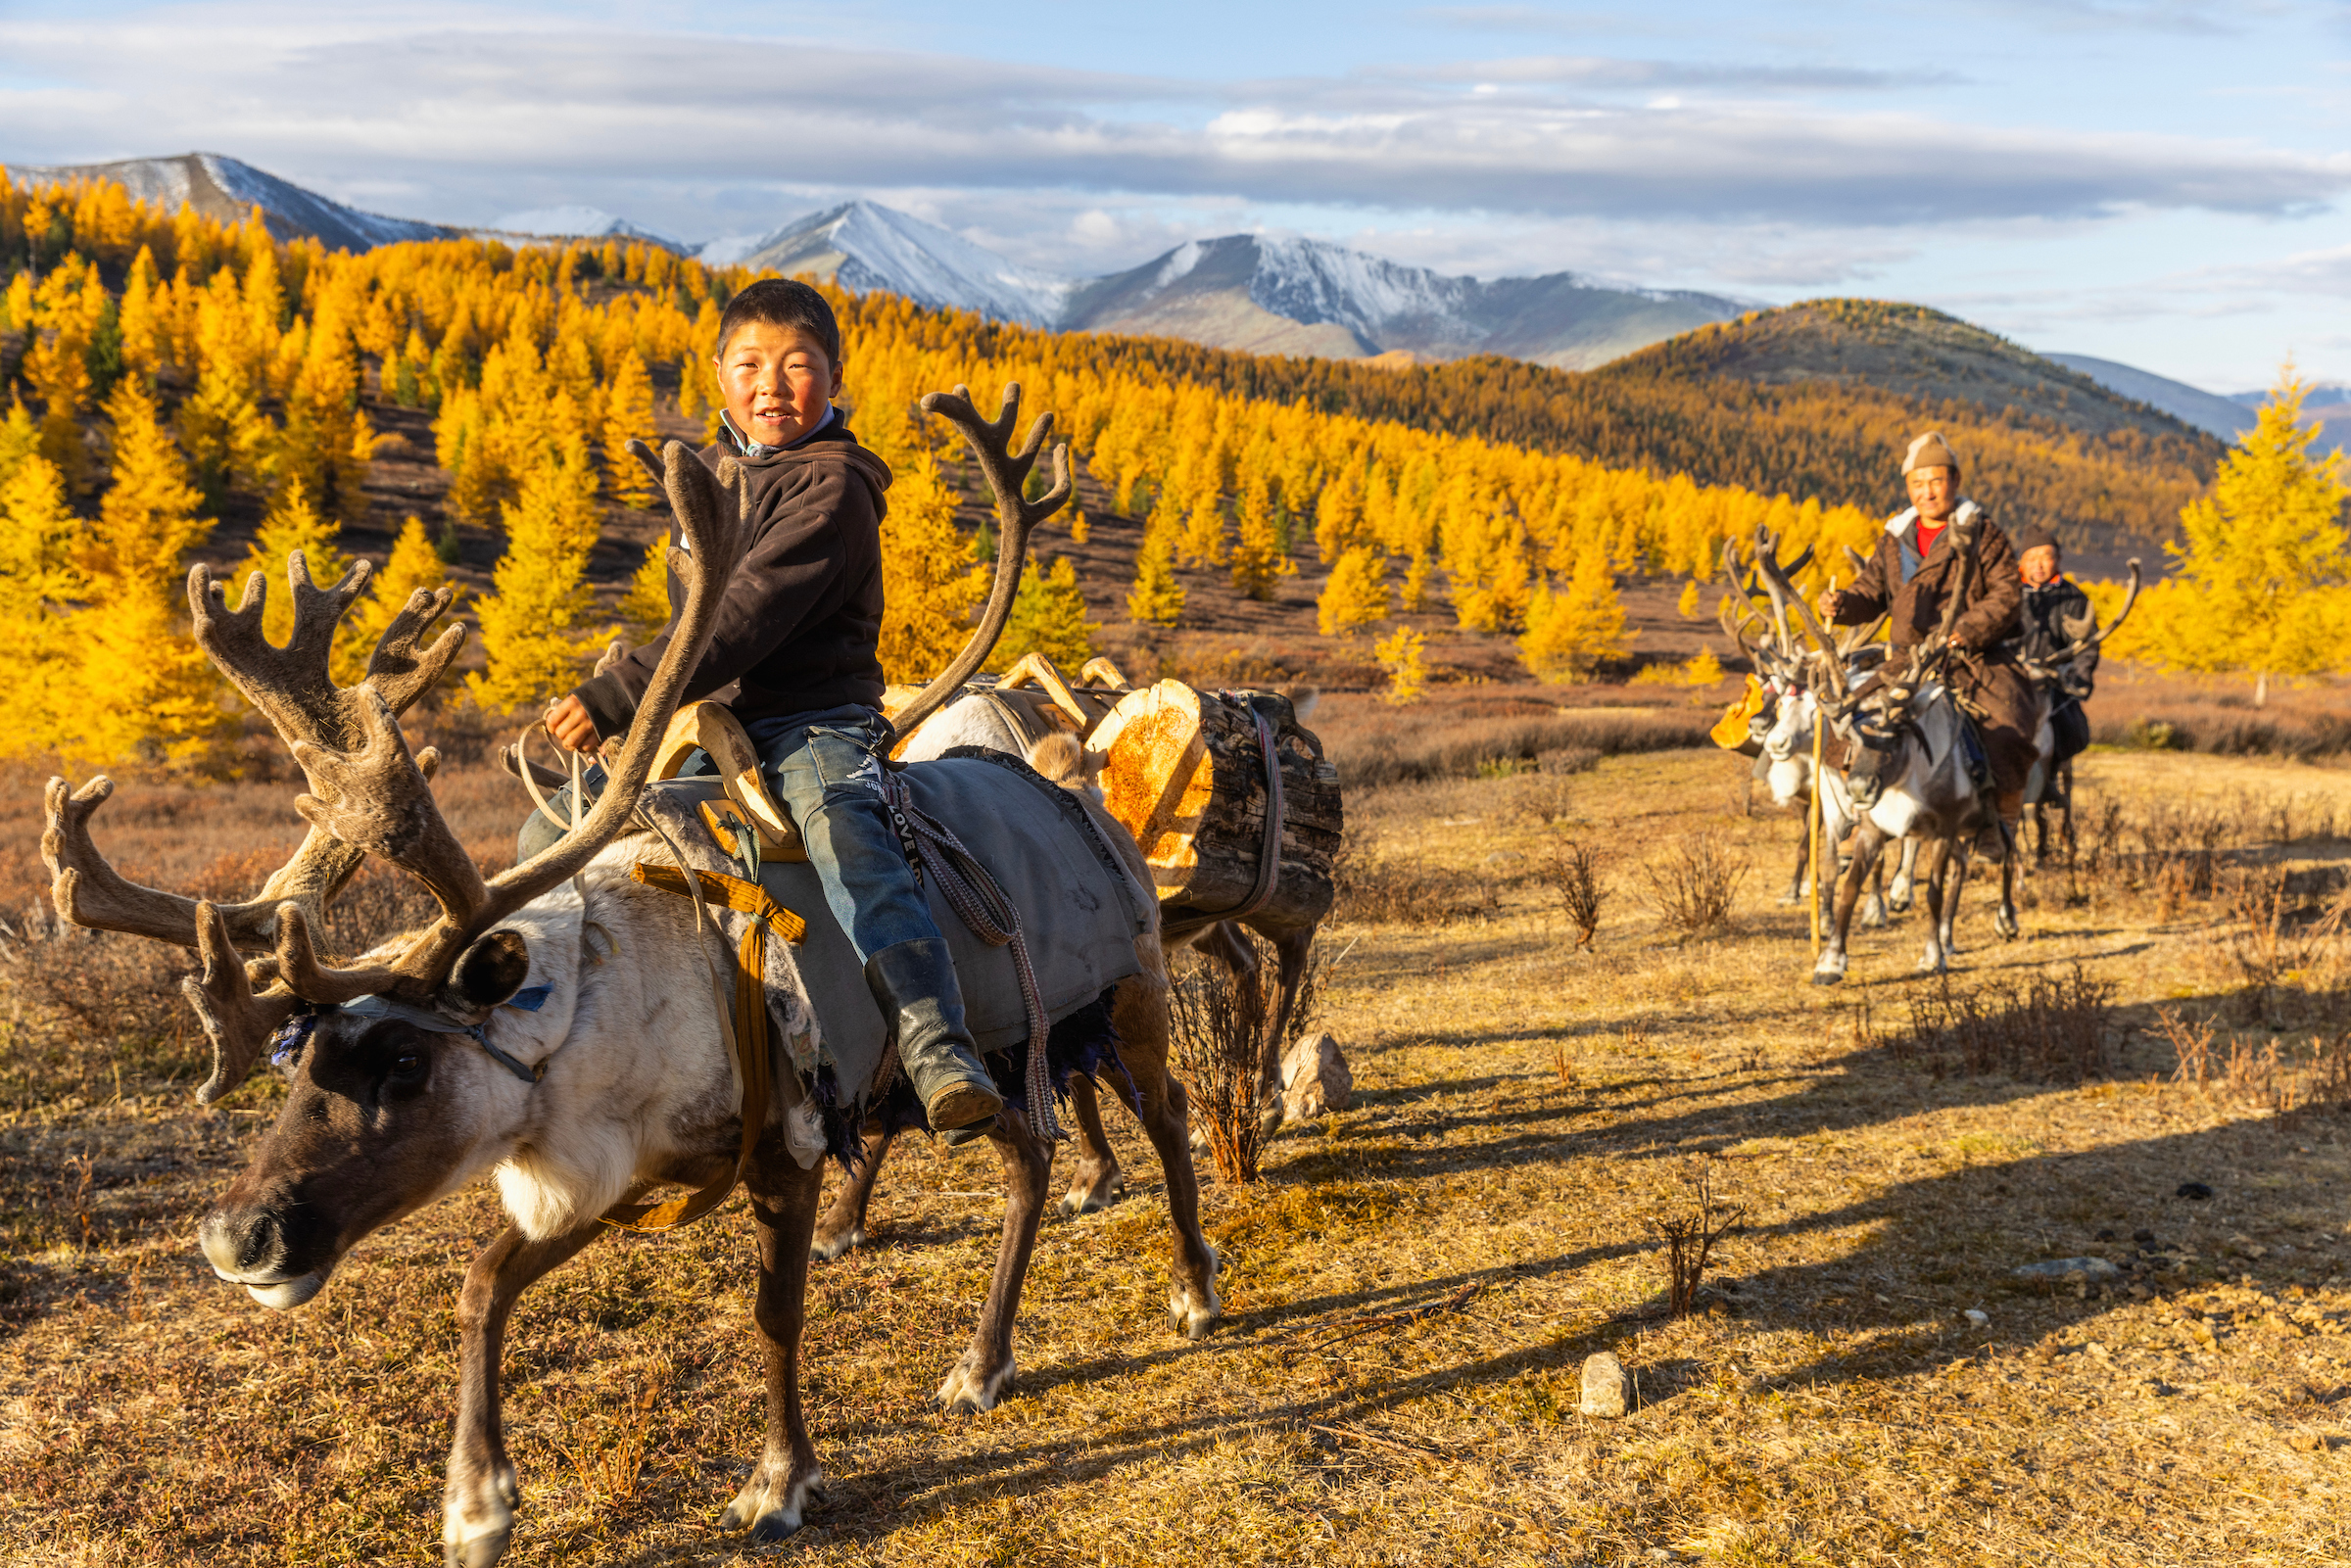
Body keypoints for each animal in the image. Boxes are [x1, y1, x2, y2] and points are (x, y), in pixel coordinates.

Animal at [39, 386, 1220, 1567]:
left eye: (407, 1061)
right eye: (301, 1060)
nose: (235, 1237)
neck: (607, 1018)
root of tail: (1076, 781)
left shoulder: (783, 1151)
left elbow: (774, 1315)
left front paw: (779, 1480)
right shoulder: (607, 1171)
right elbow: (479, 1284)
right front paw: (476, 1504)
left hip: (1132, 992)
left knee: (1163, 1113)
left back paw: (1194, 1287)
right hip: (988, 1052)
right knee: (1028, 1150)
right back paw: (983, 1360)